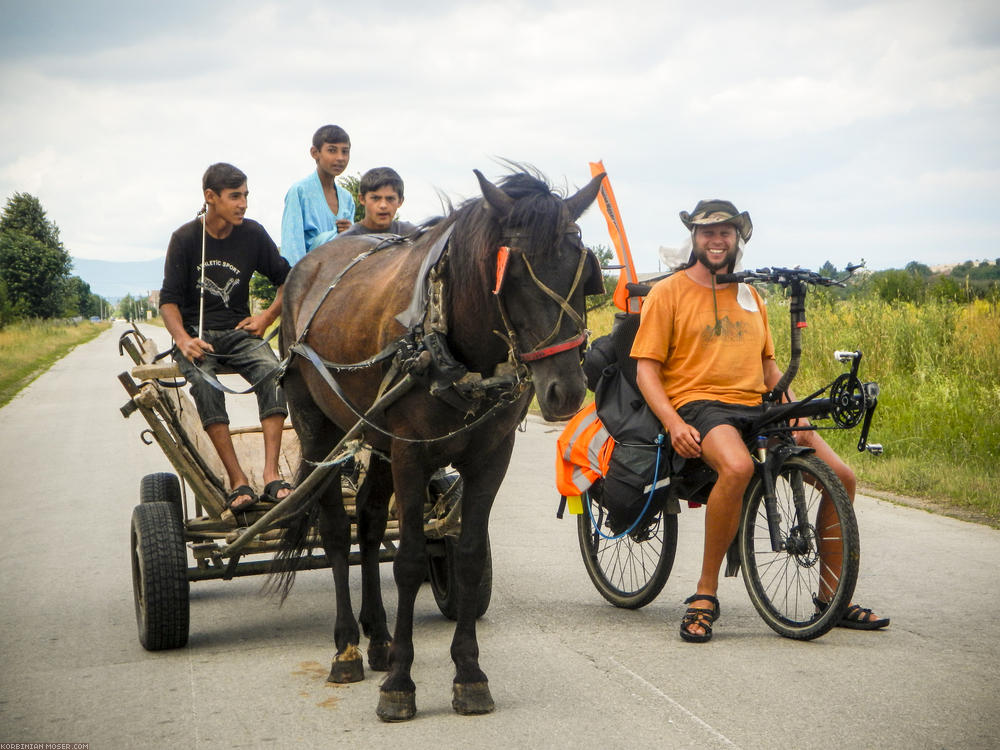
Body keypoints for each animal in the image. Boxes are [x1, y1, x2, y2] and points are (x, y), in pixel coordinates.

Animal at [274, 166, 600, 724]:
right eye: (513, 274)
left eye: (582, 271)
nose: (566, 391)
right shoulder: (411, 452)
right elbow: (406, 562)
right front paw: (400, 685)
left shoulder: (491, 457)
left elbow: (466, 555)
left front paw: (469, 673)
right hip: (320, 427)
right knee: (337, 530)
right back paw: (347, 649)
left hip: (376, 435)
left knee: (368, 518)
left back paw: (378, 639)